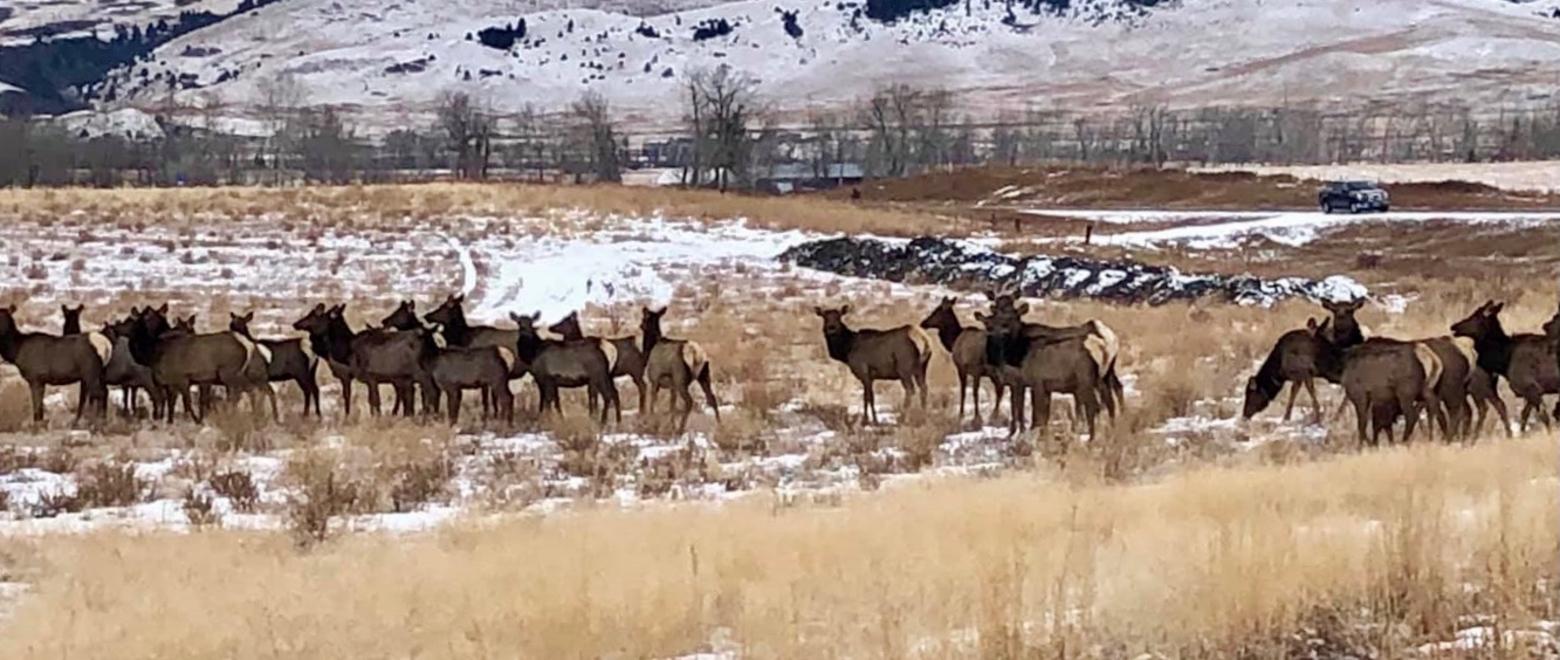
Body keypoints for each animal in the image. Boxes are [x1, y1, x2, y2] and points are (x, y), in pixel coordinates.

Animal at [1447, 301, 1560, 433]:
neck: (1504, 359)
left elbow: (1543, 417)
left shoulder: (1531, 387)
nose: (1454, 326)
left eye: (1475, 316)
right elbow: (1525, 415)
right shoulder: (1532, 392)